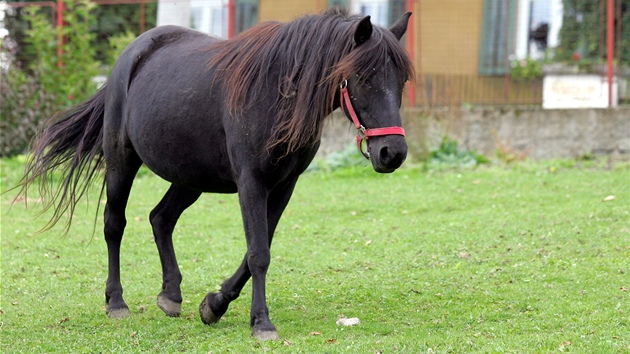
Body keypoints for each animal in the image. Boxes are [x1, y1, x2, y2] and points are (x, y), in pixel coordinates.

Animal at [18, 9, 414, 340]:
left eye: (402, 80)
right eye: (362, 77)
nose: (392, 153)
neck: (275, 93)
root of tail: (130, 56)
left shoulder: (283, 187)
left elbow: (259, 249)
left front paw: (215, 304)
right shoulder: (251, 183)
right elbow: (259, 254)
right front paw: (261, 323)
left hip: (190, 178)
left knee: (160, 218)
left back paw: (171, 294)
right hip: (121, 161)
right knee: (115, 224)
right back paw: (116, 302)